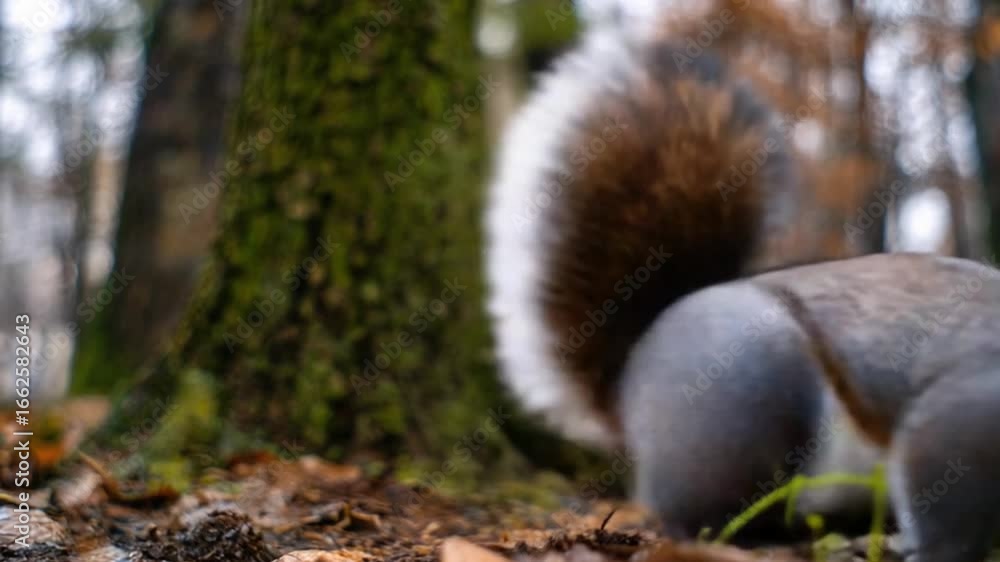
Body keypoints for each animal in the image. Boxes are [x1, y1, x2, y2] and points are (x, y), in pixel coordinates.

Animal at [485, 22, 1000, 562]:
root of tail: (628, 380)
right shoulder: (970, 406)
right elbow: (945, 488)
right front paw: (937, 549)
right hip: (744, 397)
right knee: (698, 513)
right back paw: (761, 536)